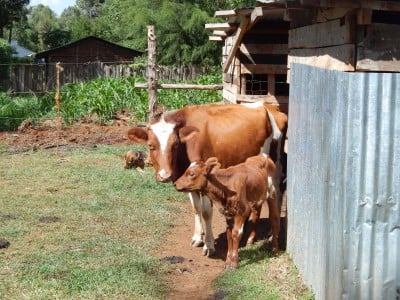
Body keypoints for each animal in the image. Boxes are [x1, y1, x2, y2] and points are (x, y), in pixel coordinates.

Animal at [126, 102, 286, 255]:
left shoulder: (208, 181)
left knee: (278, 196)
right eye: (151, 145)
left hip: (276, 168)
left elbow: (206, 213)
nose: (165, 175)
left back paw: (271, 234)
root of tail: (268, 106)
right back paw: (251, 237)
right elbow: (196, 208)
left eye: (175, 144)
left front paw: (209, 245)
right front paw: (197, 237)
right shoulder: (188, 182)